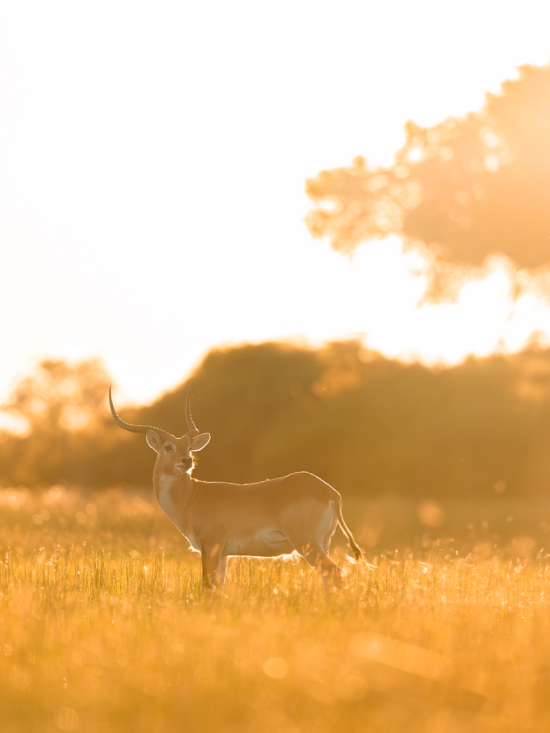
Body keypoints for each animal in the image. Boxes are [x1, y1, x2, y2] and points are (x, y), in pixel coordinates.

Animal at [109, 384, 364, 588]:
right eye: (169, 447)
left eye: (189, 447)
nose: (187, 461)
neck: (193, 497)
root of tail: (329, 492)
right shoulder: (223, 554)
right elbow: (218, 587)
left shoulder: (210, 547)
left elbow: (208, 586)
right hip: (322, 544)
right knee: (330, 577)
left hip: (307, 544)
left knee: (335, 573)